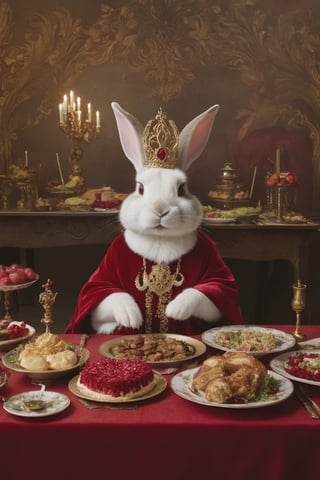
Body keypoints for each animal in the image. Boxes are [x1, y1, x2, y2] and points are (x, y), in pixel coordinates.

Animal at [67, 102, 242, 334]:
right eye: (140, 188)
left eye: (182, 189)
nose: (160, 210)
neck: (160, 241)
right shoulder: (101, 280)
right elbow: (109, 296)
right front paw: (131, 316)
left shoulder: (220, 280)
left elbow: (207, 292)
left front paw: (176, 309)